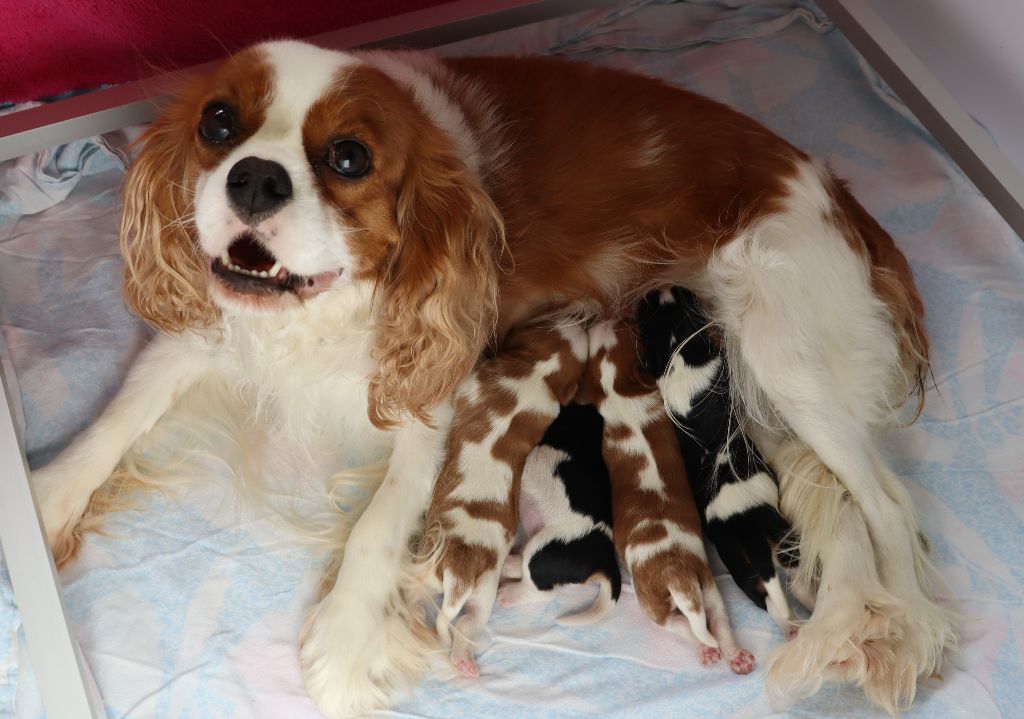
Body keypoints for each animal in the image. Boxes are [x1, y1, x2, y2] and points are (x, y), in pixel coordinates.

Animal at [419, 321, 589, 680]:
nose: (582, 321)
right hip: (471, 592)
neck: (540, 369)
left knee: (455, 621)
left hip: (461, 585)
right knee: (460, 622)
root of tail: (461, 572)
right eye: (551, 321)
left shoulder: (474, 382)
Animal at [585, 321, 753, 675]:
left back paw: (707, 650)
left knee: (680, 625)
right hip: (707, 585)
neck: (620, 393)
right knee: (716, 622)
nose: (603, 320)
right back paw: (734, 654)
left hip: (653, 602)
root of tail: (676, 575)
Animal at [634, 286, 794, 635]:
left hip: (743, 557)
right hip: (771, 542)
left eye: (648, 311)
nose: (660, 288)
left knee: (765, 596)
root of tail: (746, 527)